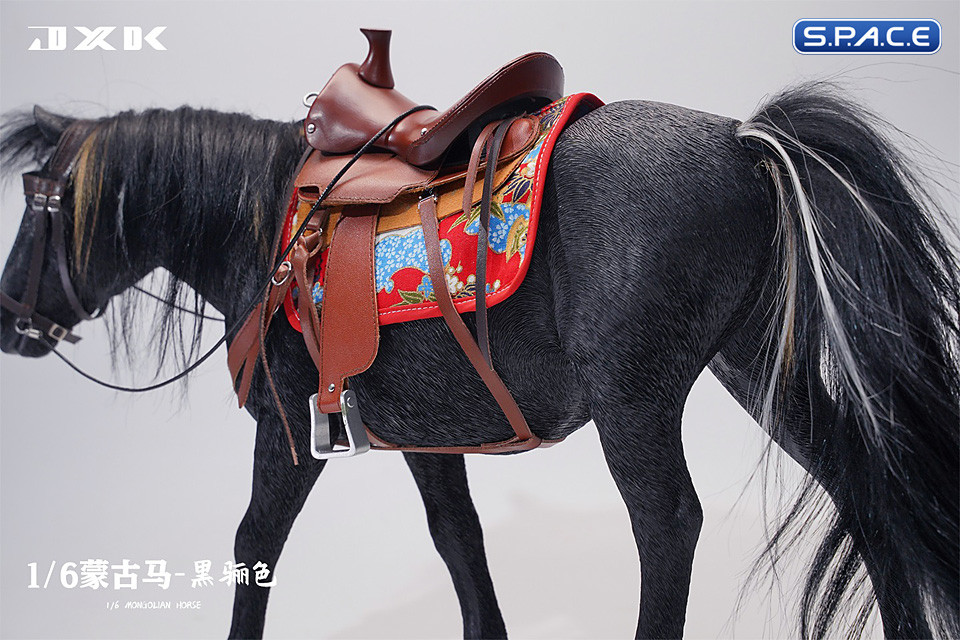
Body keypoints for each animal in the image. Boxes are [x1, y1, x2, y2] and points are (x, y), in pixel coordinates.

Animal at [1, 81, 957, 639]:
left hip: (637, 396)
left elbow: (254, 543)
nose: (11, 320)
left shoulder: (287, 423)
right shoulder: (427, 440)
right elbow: (460, 544)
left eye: (40, 202)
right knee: (866, 485)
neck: (265, 222)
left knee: (667, 525)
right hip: (759, 369)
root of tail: (742, 140)